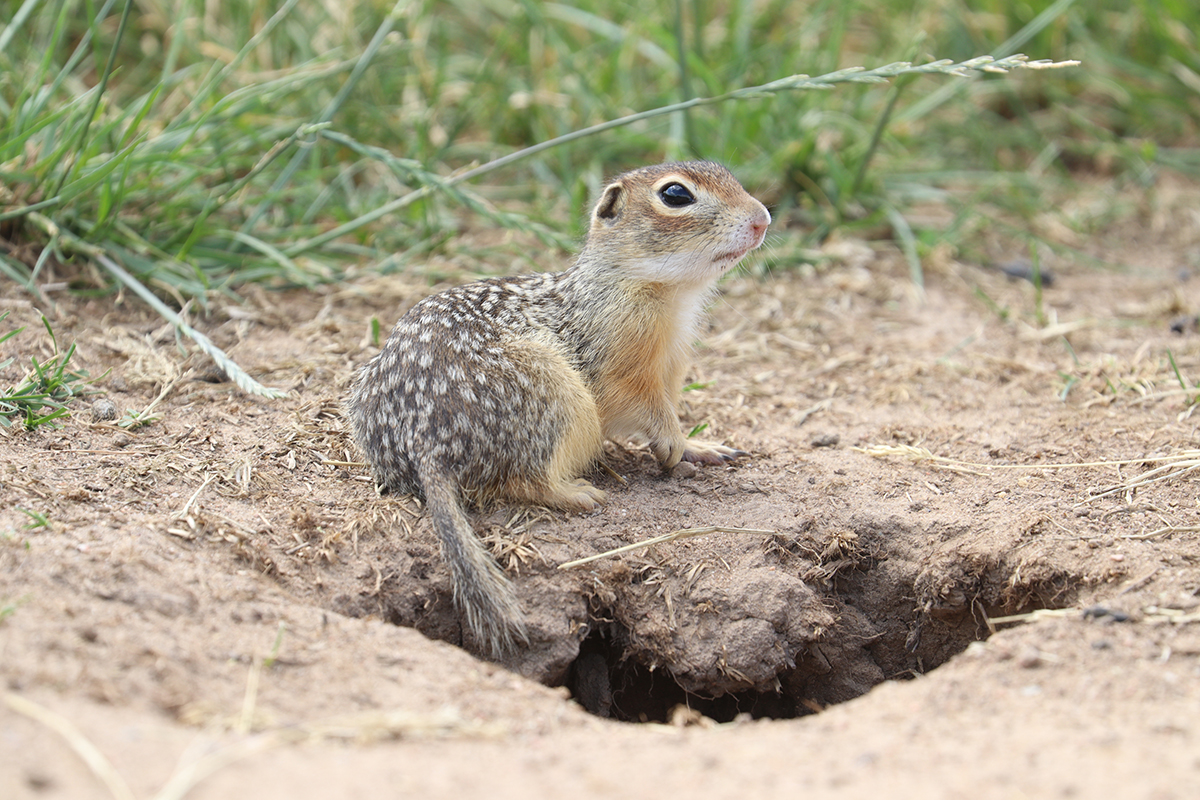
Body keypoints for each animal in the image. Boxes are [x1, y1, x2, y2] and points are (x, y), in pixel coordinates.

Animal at [350, 160, 772, 657]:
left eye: (727, 173)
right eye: (675, 195)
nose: (763, 219)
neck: (662, 292)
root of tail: (424, 441)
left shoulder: (671, 368)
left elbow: (671, 410)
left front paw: (702, 447)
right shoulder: (623, 365)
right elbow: (647, 410)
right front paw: (673, 444)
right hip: (554, 391)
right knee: (525, 479)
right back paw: (577, 493)